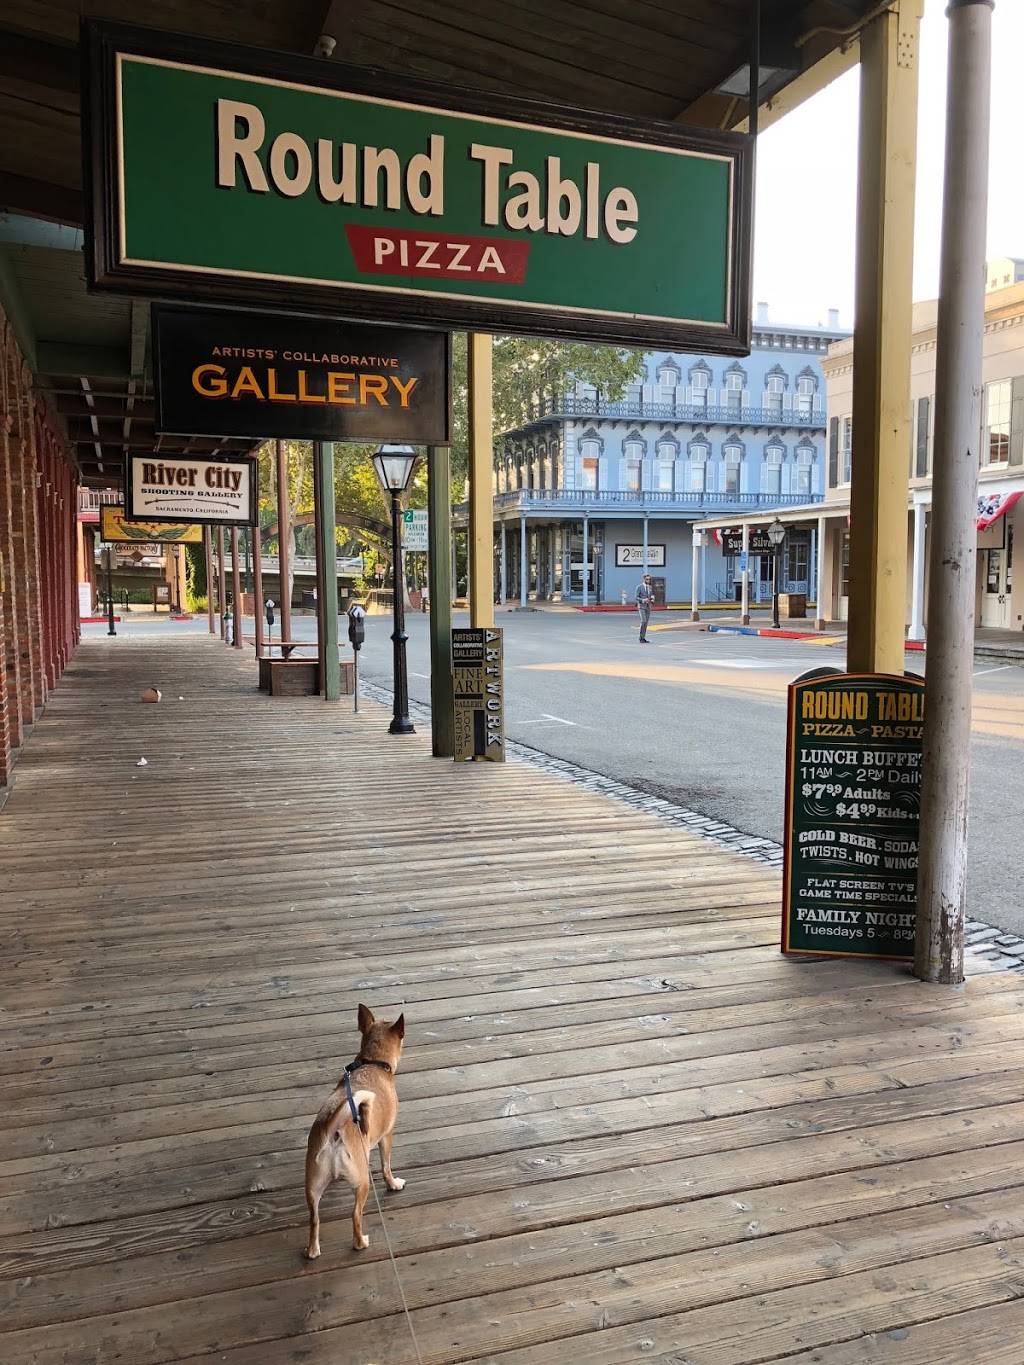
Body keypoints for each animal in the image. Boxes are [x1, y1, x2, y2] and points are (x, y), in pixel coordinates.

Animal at [304, 1004, 404, 1255]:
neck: (373, 1063)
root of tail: (333, 1131)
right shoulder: (387, 1136)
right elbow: (386, 1166)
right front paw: (393, 1184)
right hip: (362, 1183)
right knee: (355, 1216)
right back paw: (361, 1243)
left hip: (313, 1187)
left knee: (314, 1220)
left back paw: (313, 1250)